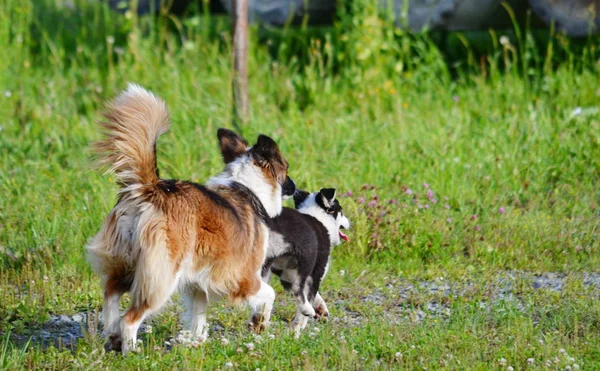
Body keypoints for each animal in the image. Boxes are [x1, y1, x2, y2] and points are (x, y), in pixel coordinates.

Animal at [86, 84, 296, 354]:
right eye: (286, 168)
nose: (295, 187)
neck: (246, 190)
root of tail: (149, 190)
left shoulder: (197, 284)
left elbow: (198, 316)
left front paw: (195, 341)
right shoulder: (244, 278)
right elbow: (269, 295)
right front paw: (259, 324)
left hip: (124, 264)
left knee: (111, 298)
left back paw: (113, 338)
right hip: (161, 276)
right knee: (129, 318)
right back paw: (131, 351)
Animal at [264, 189, 352, 338]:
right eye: (341, 210)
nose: (349, 222)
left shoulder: (287, 274)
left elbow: (313, 295)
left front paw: (321, 310)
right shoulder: (316, 272)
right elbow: (309, 295)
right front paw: (296, 330)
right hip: (307, 259)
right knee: (298, 289)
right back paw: (306, 311)